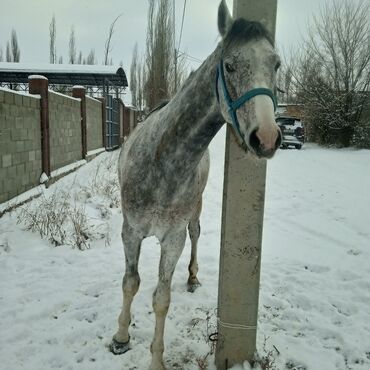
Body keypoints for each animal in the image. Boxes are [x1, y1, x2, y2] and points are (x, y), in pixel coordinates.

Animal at [111, 1, 282, 368]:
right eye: (229, 65)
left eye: (275, 64)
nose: (266, 138)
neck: (162, 160)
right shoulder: (130, 231)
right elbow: (130, 282)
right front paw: (120, 337)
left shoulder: (172, 239)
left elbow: (161, 297)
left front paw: (156, 360)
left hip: (194, 213)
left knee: (196, 233)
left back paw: (191, 276)